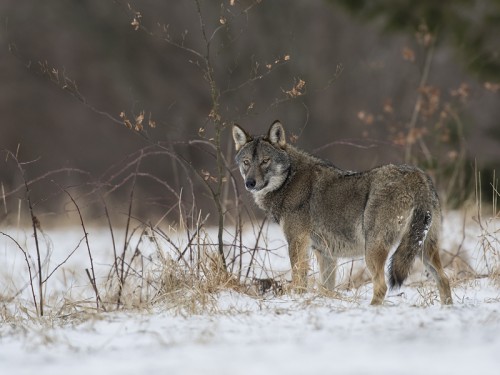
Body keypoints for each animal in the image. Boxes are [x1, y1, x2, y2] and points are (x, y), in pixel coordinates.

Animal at [233, 120, 454, 306]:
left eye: (265, 161)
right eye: (246, 162)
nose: (250, 183)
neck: (289, 180)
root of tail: (416, 175)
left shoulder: (297, 243)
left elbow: (299, 282)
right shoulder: (325, 254)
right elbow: (326, 287)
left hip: (373, 250)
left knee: (382, 286)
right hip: (422, 249)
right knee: (444, 279)